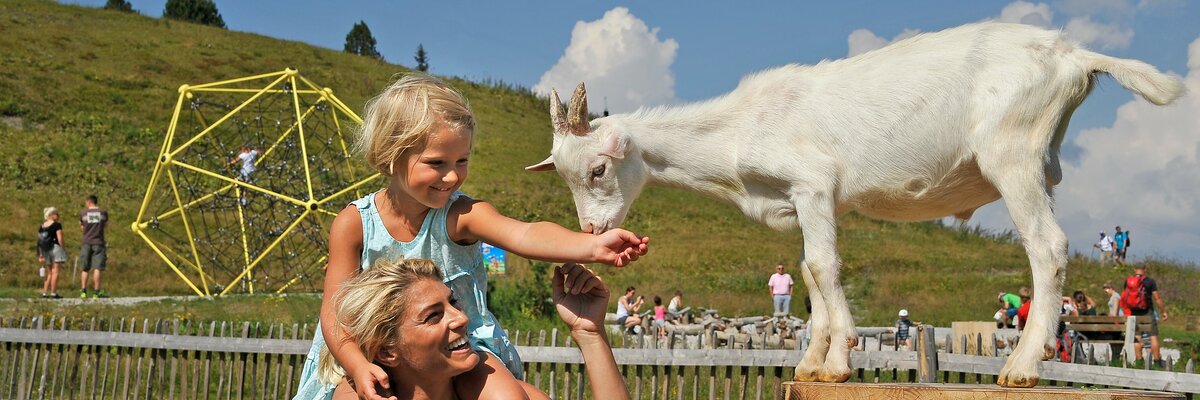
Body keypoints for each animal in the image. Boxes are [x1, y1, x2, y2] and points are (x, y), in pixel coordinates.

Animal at [530, 22, 1185, 386]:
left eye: (597, 169)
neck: (741, 129)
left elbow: (823, 268)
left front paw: (839, 360)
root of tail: (1074, 56)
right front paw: (813, 363)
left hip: (1012, 154)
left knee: (1046, 247)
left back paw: (1023, 367)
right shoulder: (810, 203)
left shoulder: (813, 184)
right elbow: (808, 274)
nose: (594, 229)